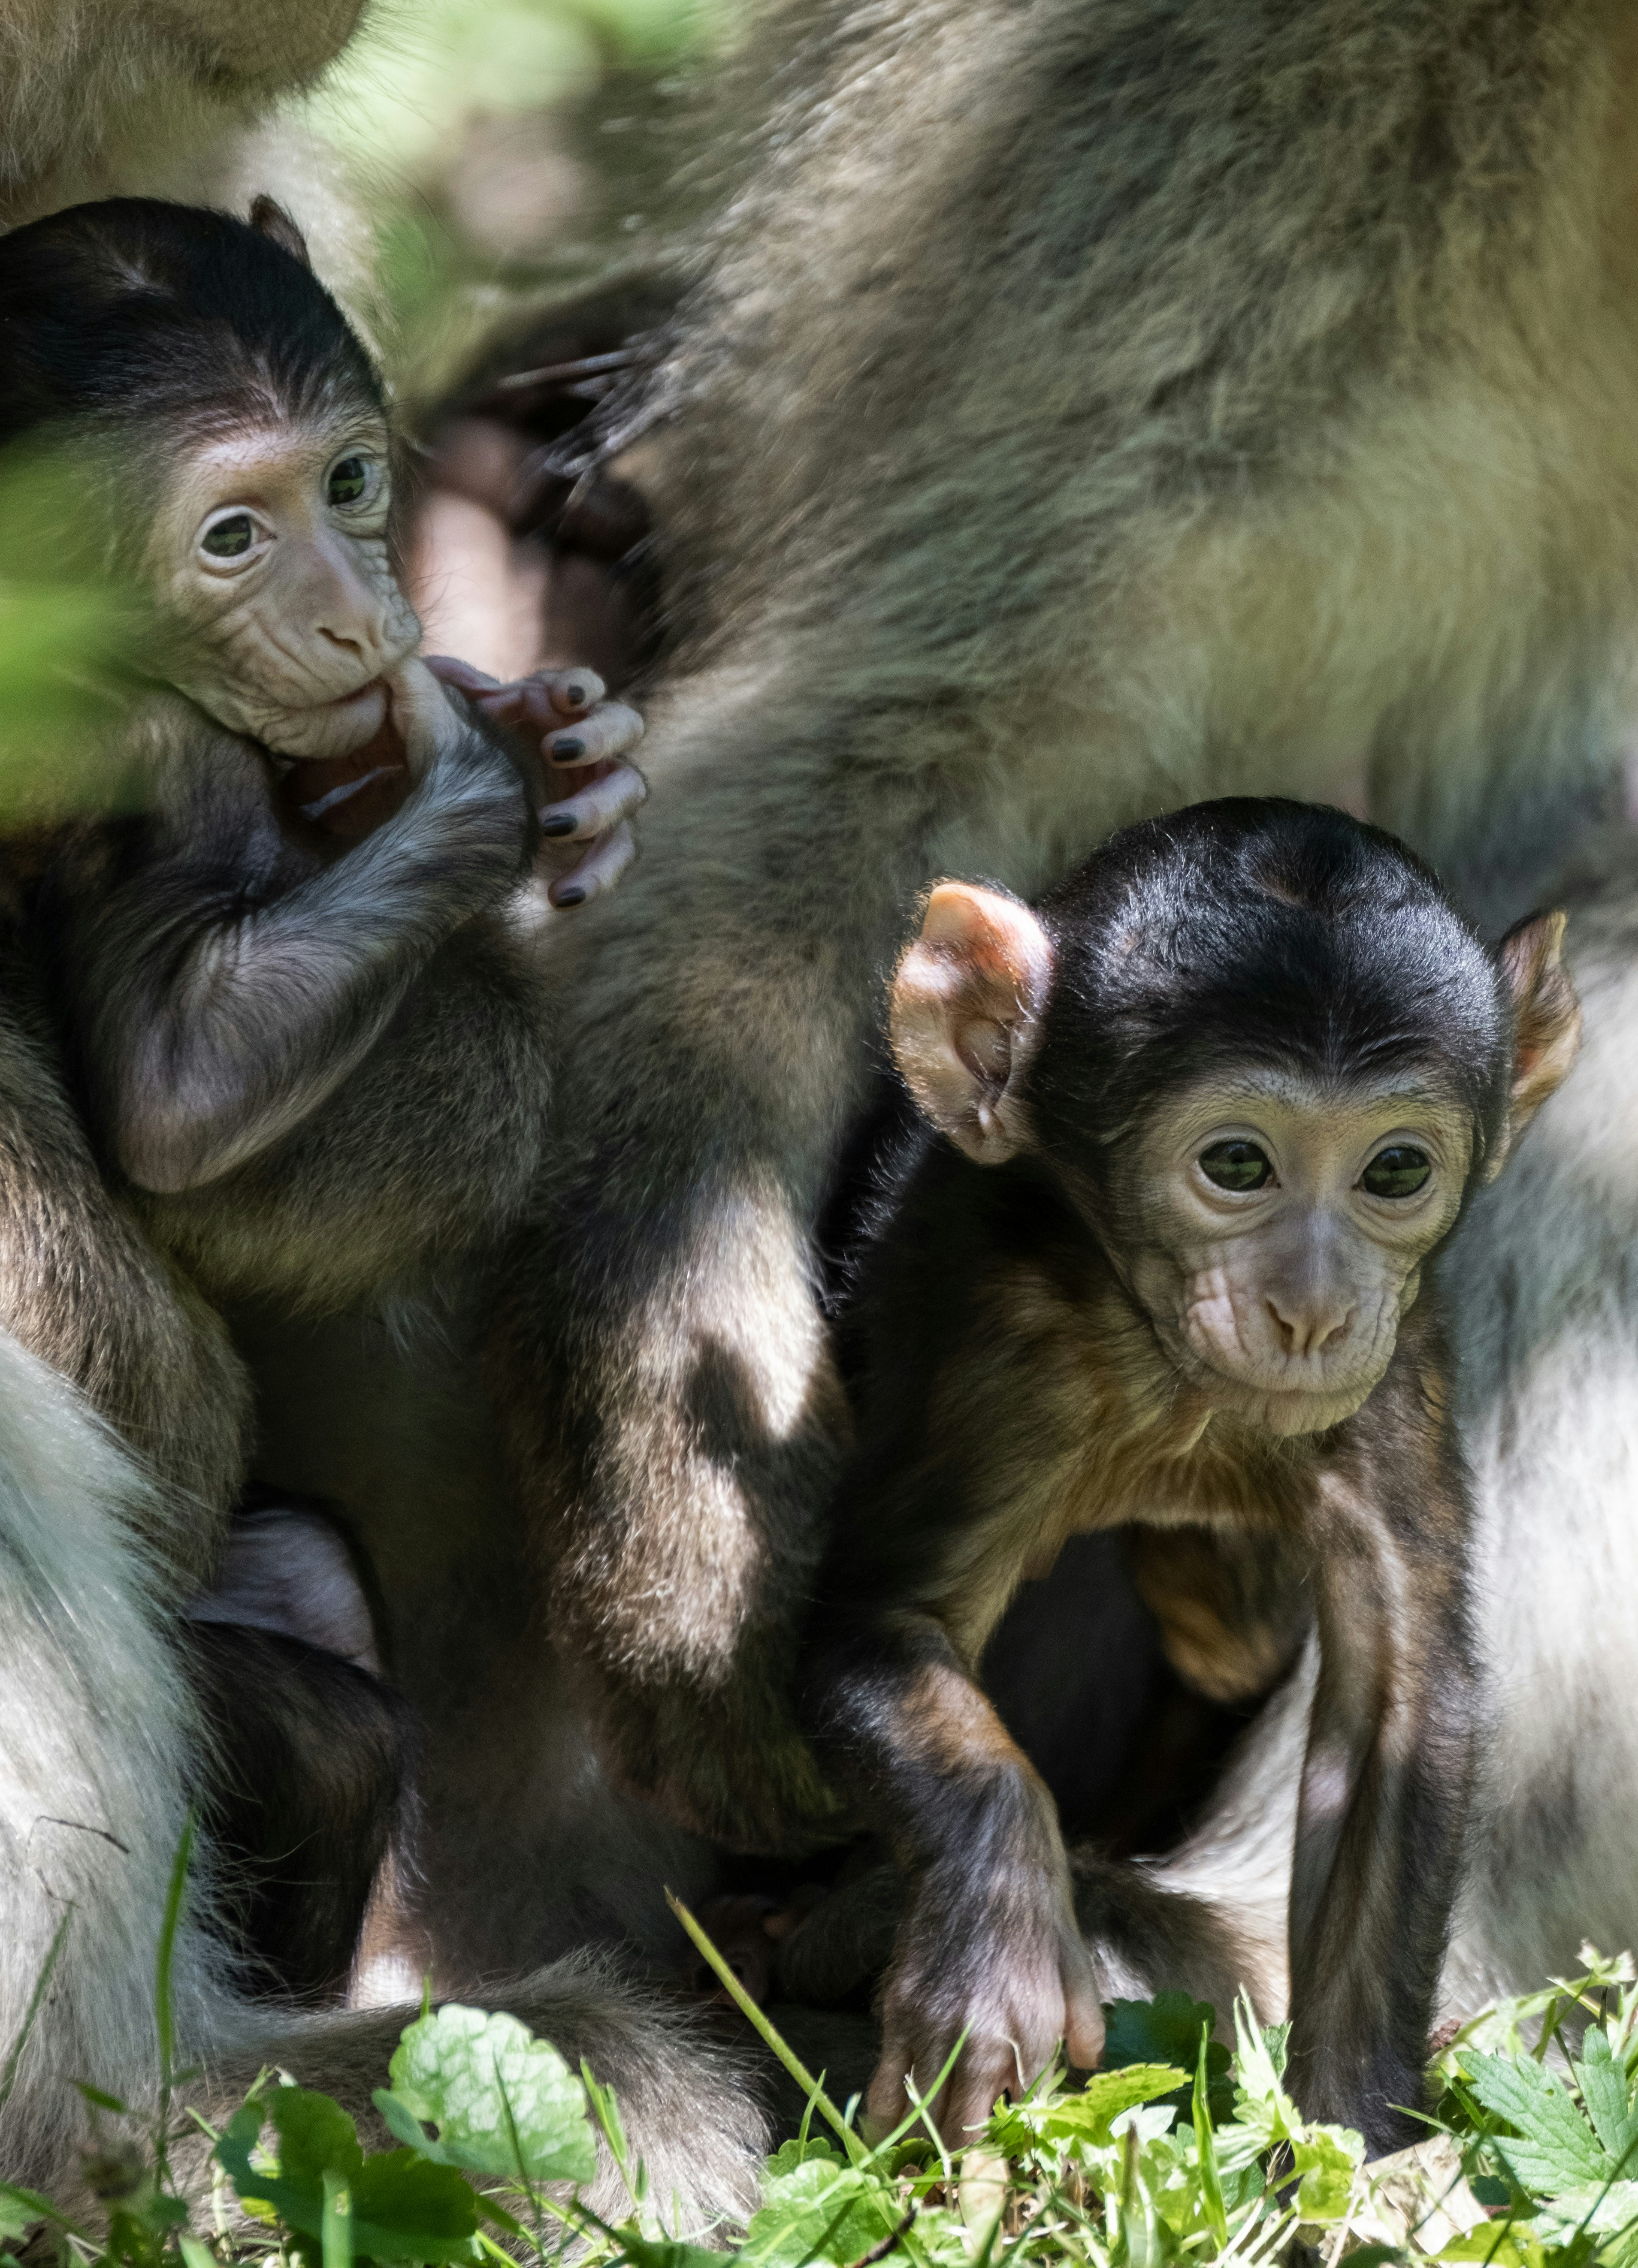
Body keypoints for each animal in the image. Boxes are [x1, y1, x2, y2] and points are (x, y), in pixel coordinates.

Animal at [794, 799, 1579, 2154]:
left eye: (1392, 1172)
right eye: (1237, 1164)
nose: (1312, 1310)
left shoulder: (1396, 1372)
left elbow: (1399, 1701)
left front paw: (1360, 2138)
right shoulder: (993, 1343)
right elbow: (879, 1629)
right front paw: (995, 1953)